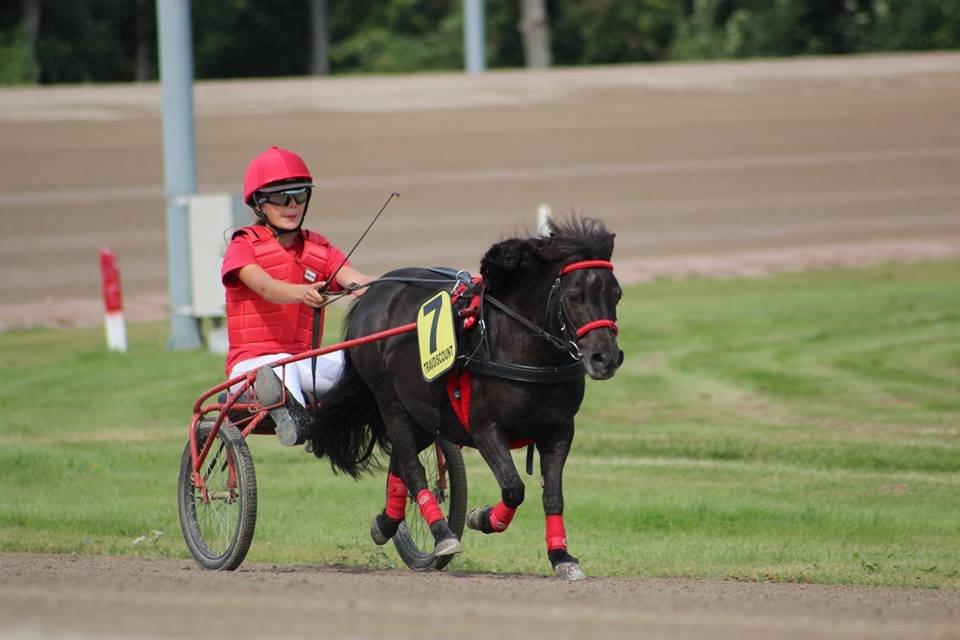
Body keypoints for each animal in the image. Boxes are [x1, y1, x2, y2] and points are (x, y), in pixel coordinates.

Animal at [314, 216, 624, 580]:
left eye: (617, 294)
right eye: (575, 296)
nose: (606, 358)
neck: (523, 349)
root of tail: (374, 292)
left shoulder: (559, 429)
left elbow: (553, 496)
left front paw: (561, 556)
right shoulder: (484, 427)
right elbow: (513, 488)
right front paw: (483, 518)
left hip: (422, 413)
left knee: (402, 463)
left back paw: (387, 522)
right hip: (389, 400)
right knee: (412, 466)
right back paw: (442, 533)